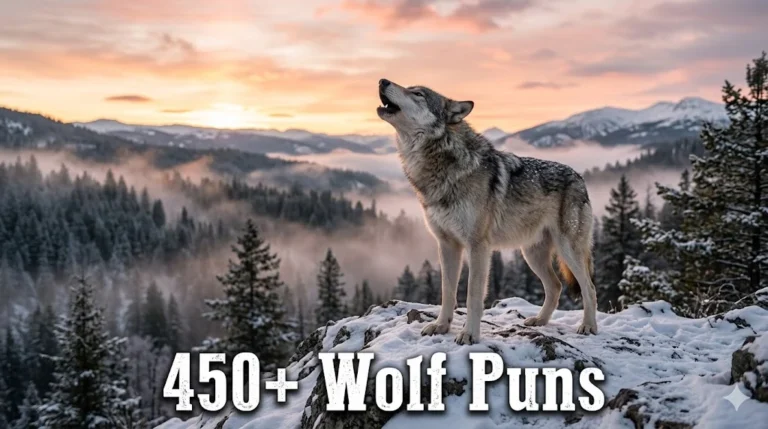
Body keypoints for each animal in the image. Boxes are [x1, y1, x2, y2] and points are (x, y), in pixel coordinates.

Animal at [376, 78, 598, 345]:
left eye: (418, 93)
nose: (382, 81)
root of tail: (580, 178)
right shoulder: (447, 245)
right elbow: (447, 292)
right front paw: (441, 326)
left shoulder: (477, 246)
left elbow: (472, 295)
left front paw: (469, 334)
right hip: (531, 254)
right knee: (555, 286)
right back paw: (539, 321)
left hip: (568, 250)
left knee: (589, 288)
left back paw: (588, 326)